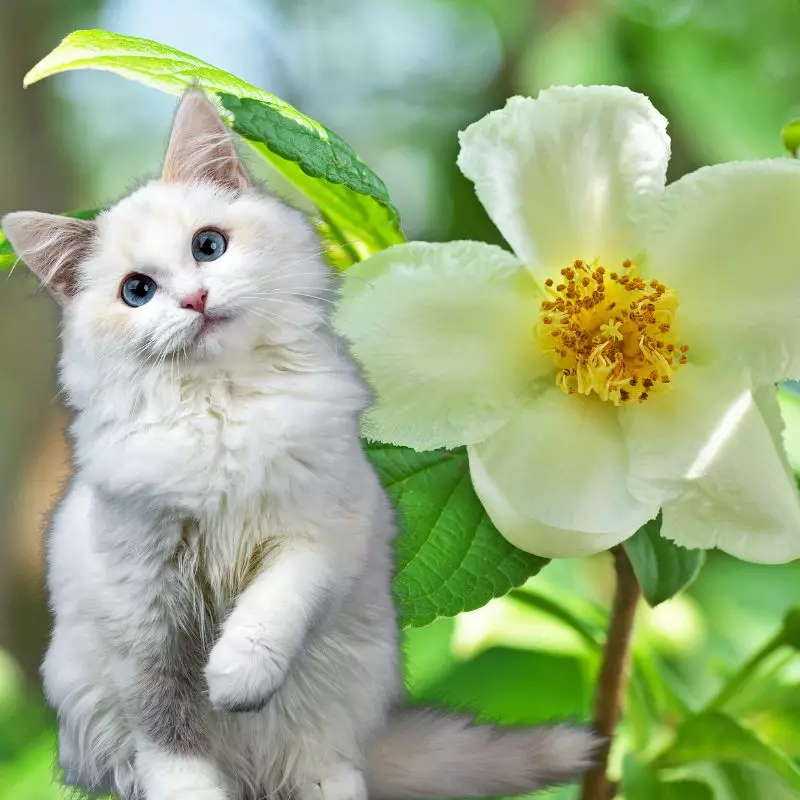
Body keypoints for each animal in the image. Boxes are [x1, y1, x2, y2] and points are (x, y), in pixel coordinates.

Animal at [3, 92, 596, 800]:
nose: (196, 299)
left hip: (337, 710)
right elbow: (169, 730)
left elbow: (271, 610)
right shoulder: (143, 603)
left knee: (324, 768)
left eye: (209, 246)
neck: (224, 408)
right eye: (137, 291)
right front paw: (193, 785)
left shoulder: (322, 533)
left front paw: (234, 679)